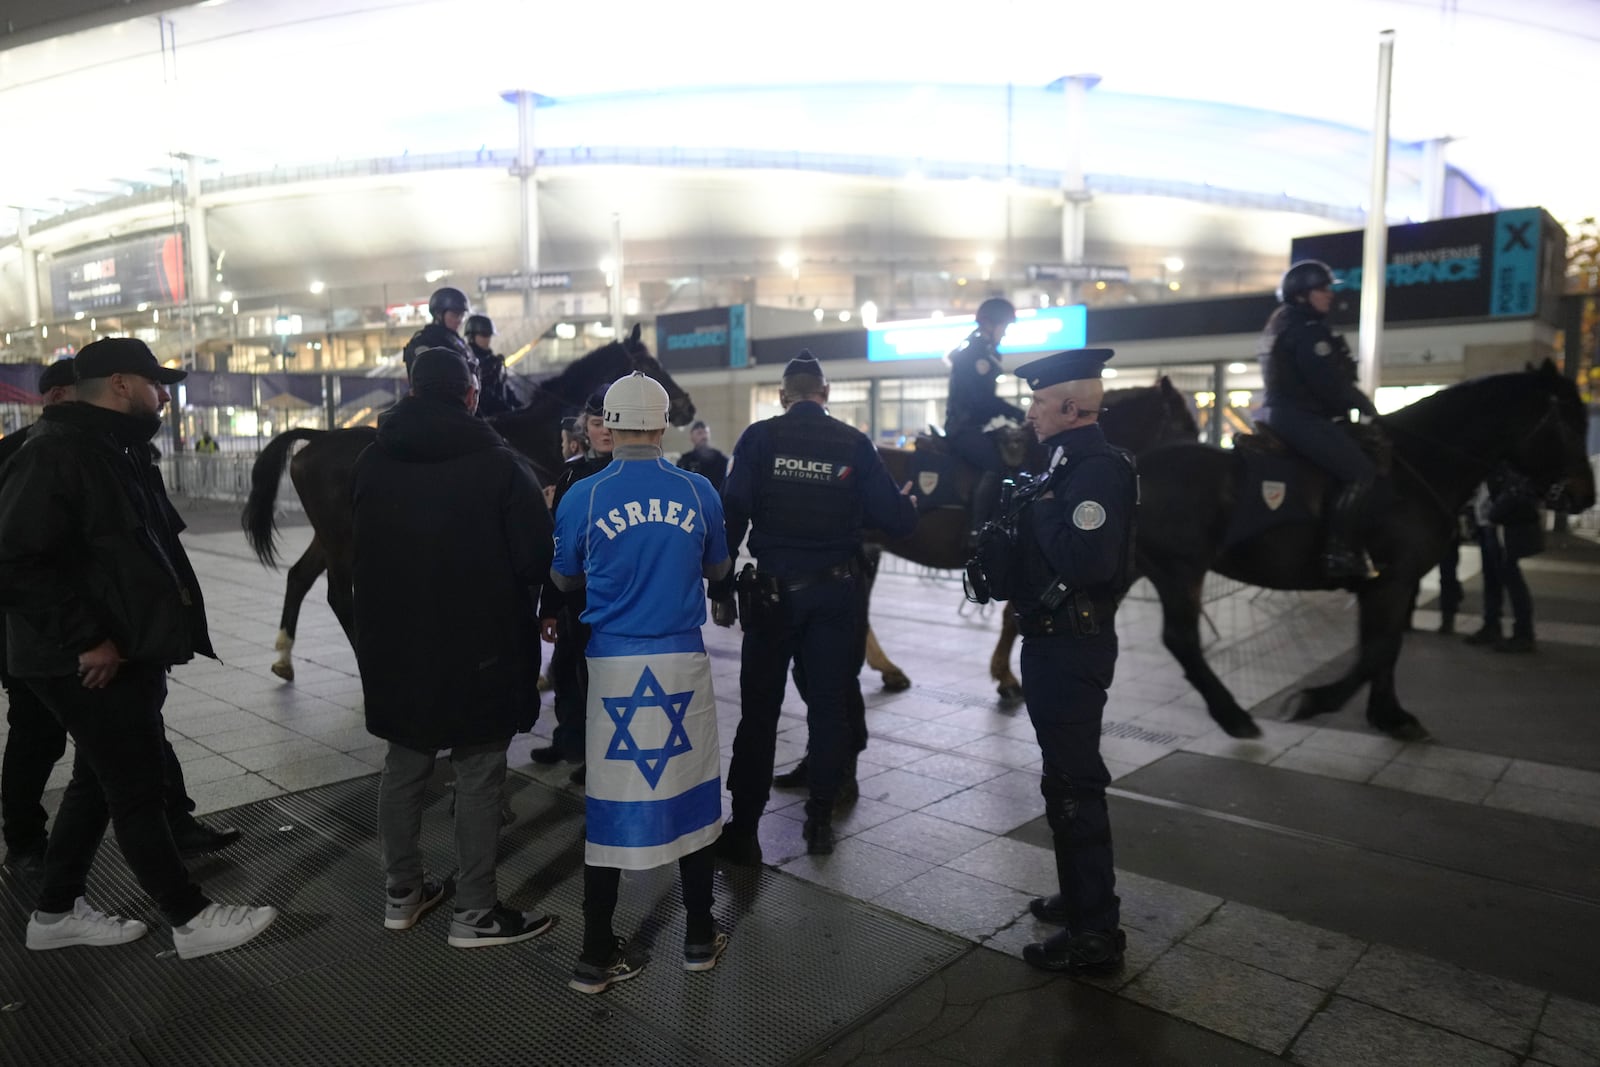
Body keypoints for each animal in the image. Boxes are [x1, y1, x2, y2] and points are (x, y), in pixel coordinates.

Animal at [240, 326, 691, 681]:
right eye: (646, 362)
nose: (686, 406)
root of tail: (317, 438)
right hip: (342, 542)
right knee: (338, 598)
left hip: (329, 536)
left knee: (298, 576)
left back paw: (284, 656)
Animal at [1145, 361, 1593, 742]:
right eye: (1572, 428)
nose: (1585, 496)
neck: (1417, 468)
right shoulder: (1393, 580)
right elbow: (1378, 649)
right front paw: (1313, 701)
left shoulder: (1386, 583)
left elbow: (1384, 647)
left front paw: (1390, 715)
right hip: (1180, 568)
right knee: (1181, 638)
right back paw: (1233, 715)